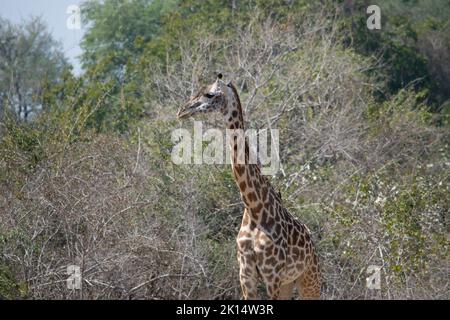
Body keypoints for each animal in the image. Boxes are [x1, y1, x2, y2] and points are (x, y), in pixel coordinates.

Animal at [178, 74, 322, 298]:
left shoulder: (272, 275)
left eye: (209, 94)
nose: (182, 111)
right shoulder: (246, 274)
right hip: (289, 282)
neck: (254, 208)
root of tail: (312, 242)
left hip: (309, 279)